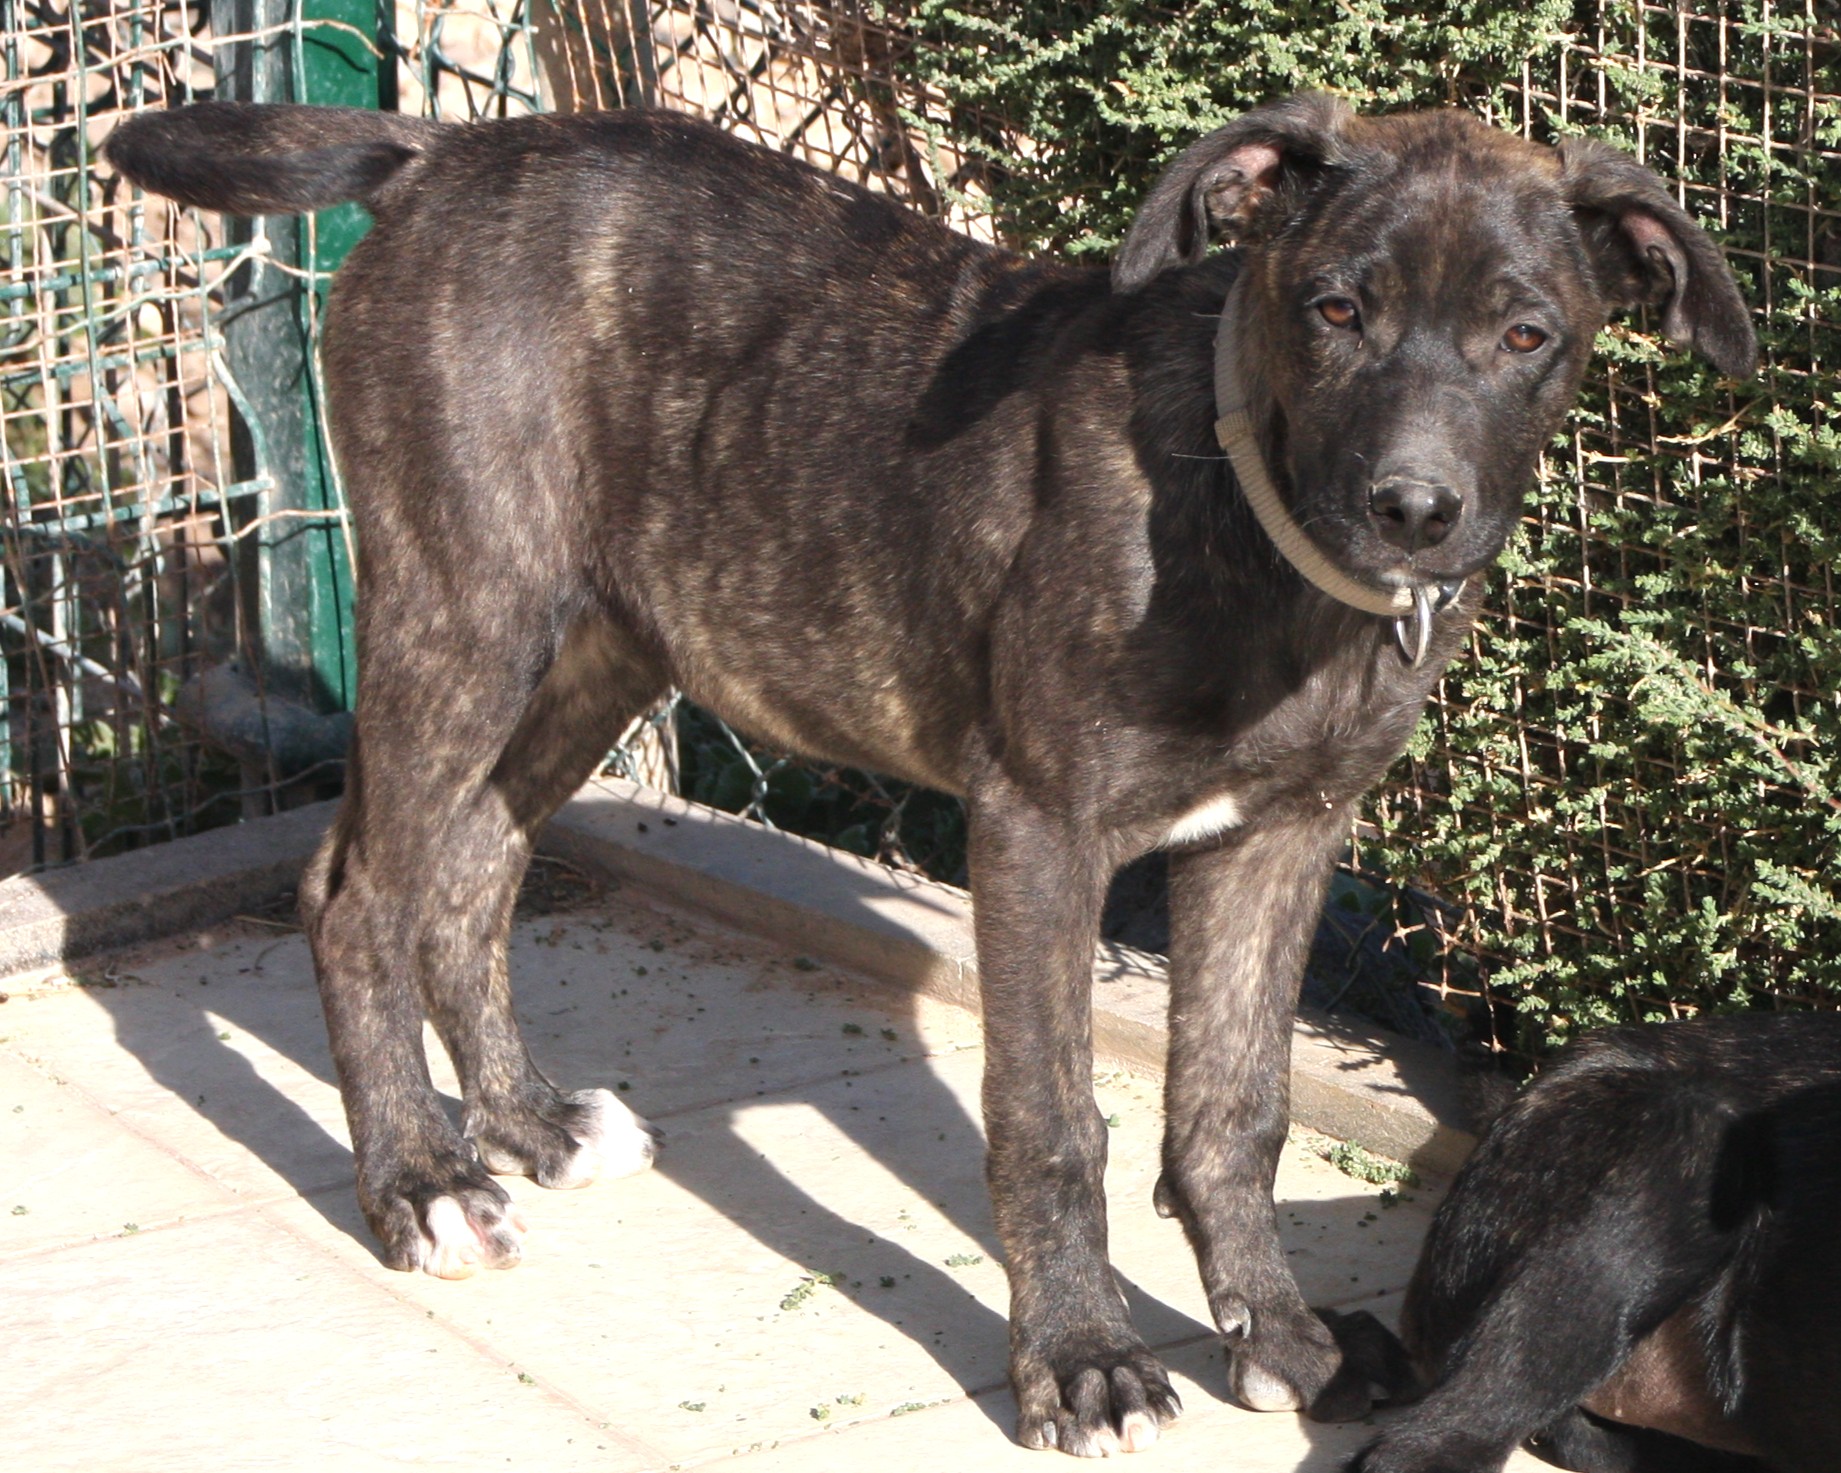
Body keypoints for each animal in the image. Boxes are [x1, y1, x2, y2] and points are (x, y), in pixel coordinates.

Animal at [104, 93, 1753, 1455]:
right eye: (1335, 309)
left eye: (1527, 337)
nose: (1413, 508)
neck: (1245, 509)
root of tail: (437, 152)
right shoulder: (1039, 831)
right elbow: (1053, 1126)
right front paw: (1080, 1362)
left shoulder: (1279, 839)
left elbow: (1236, 1108)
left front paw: (1279, 1338)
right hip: (468, 609)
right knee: (355, 891)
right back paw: (421, 1186)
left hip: (599, 639)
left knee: (472, 867)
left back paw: (525, 1125)